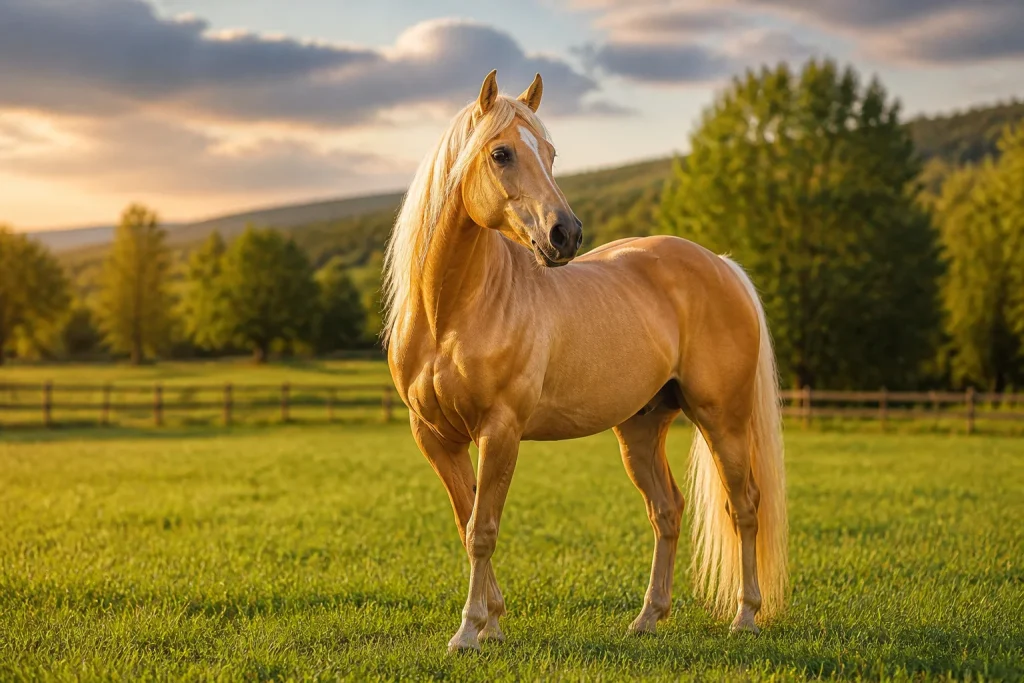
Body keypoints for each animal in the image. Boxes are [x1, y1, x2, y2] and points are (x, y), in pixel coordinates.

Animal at [383, 70, 788, 652]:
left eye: (551, 153)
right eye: (501, 153)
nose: (566, 234)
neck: (452, 313)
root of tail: (721, 264)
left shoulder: (500, 432)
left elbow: (484, 530)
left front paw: (468, 632)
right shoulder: (435, 438)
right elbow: (468, 525)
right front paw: (493, 624)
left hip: (723, 420)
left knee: (745, 506)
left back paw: (745, 616)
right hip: (641, 429)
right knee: (667, 511)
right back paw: (647, 618)